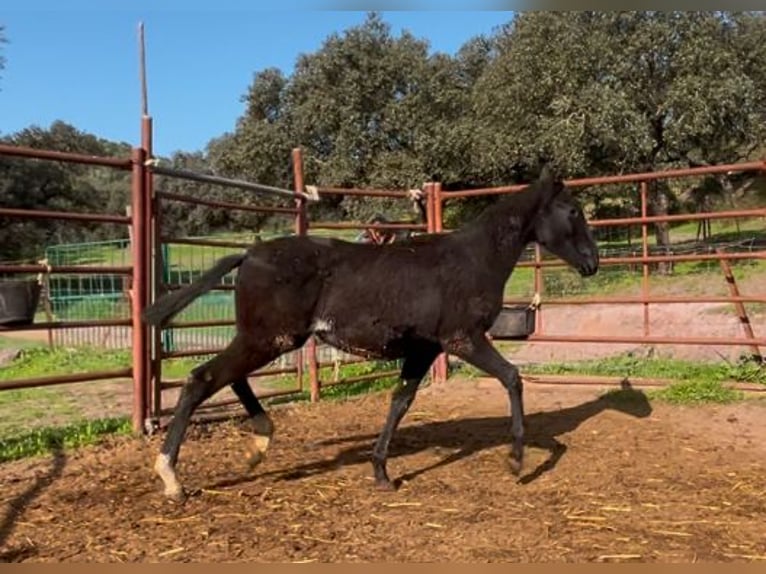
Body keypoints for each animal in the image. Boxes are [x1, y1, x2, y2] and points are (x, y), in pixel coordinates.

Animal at [142, 165, 600, 500]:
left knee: (227, 377)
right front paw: (517, 460)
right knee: (202, 378)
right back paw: (172, 478)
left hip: (267, 339)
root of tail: (249, 253)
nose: (592, 262)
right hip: (270, 339)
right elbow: (512, 378)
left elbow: (400, 401)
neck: (473, 258)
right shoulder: (463, 339)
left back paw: (258, 446)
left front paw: (381, 472)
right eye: (573, 211)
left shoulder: (423, 349)